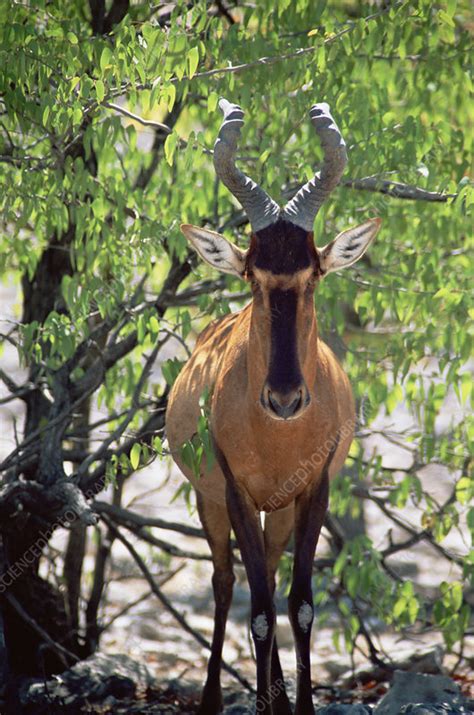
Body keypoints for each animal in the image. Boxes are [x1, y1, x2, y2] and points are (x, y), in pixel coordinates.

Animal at [167, 99, 382, 715]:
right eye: (253, 274)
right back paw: (214, 698)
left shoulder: (315, 491)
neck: (279, 437)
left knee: (269, 565)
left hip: (278, 510)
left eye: (313, 272)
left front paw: (300, 706)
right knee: (226, 582)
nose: (285, 398)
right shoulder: (235, 492)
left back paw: (280, 698)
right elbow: (259, 610)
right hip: (211, 501)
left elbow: (300, 604)